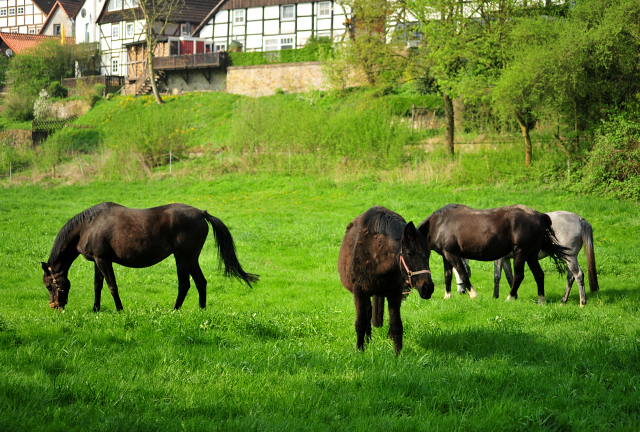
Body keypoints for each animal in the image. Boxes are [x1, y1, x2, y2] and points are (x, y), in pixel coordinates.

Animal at [41, 202, 258, 310]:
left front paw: (120, 309)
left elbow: (112, 286)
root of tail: (200, 213)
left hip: (182, 258)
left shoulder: (103, 260)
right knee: (200, 282)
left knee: (184, 285)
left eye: (50, 285)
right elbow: (97, 286)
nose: (55, 307)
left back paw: (175, 309)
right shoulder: (98, 261)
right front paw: (96, 309)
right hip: (191, 259)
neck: (88, 225)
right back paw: (201, 310)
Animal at [336, 208, 436, 356]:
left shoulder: (394, 293)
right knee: (367, 313)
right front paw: (360, 350)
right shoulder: (359, 291)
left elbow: (396, 325)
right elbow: (360, 322)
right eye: (409, 253)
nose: (427, 288)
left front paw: (398, 354)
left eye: (428, 254)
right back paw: (366, 341)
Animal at [418, 205, 568, 304]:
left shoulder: (452, 255)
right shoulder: (446, 256)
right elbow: (447, 276)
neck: (439, 224)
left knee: (519, 276)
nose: (425, 291)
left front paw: (473, 295)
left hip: (521, 253)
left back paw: (510, 298)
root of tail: (539, 215)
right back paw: (541, 300)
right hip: (531, 255)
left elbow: (463, 274)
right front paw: (447, 296)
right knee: (539, 275)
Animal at [452, 211, 596, 306]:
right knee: (570, 277)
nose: (461, 291)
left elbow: (497, 277)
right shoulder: (506, 259)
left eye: (461, 272)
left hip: (570, 258)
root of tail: (579, 219)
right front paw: (514, 295)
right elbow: (510, 277)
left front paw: (496, 296)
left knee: (578, 275)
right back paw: (563, 300)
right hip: (569, 258)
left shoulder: (499, 259)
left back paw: (582, 303)